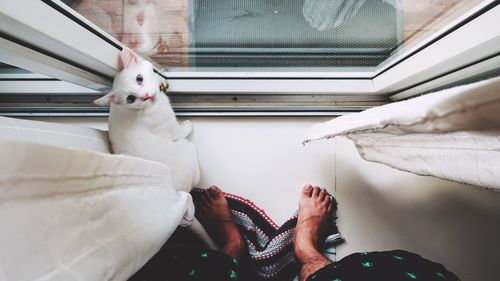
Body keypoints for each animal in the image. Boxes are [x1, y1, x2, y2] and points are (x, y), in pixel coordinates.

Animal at [94, 47, 216, 247]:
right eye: (130, 98)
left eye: (139, 78)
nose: (145, 96)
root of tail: (172, 192)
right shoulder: (169, 129)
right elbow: (179, 129)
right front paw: (187, 125)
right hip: (186, 152)